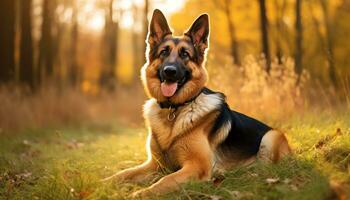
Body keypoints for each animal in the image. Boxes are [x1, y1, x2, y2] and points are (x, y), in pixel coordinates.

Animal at [108, 9, 292, 197]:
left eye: (185, 54)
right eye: (164, 52)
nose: (169, 72)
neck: (175, 109)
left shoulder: (196, 166)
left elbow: (165, 180)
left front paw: (140, 194)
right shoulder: (155, 165)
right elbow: (124, 173)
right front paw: (104, 182)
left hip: (271, 137)